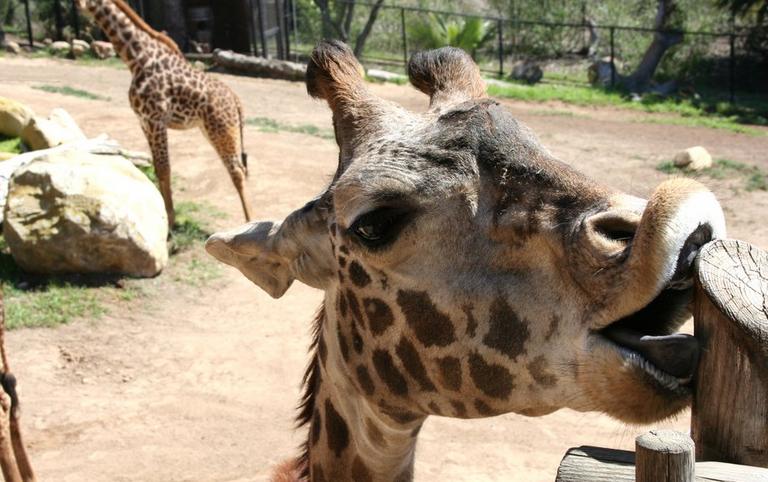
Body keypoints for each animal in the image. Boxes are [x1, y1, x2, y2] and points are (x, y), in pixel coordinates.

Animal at [74, 0, 250, 228]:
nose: (78, 9)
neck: (137, 58)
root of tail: (236, 101)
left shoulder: (155, 120)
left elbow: (165, 168)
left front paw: (170, 222)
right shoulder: (143, 122)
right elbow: (158, 169)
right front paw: (167, 217)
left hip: (221, 130)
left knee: (237, 171)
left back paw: (250, 222)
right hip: (211, 129)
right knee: (241, 169)